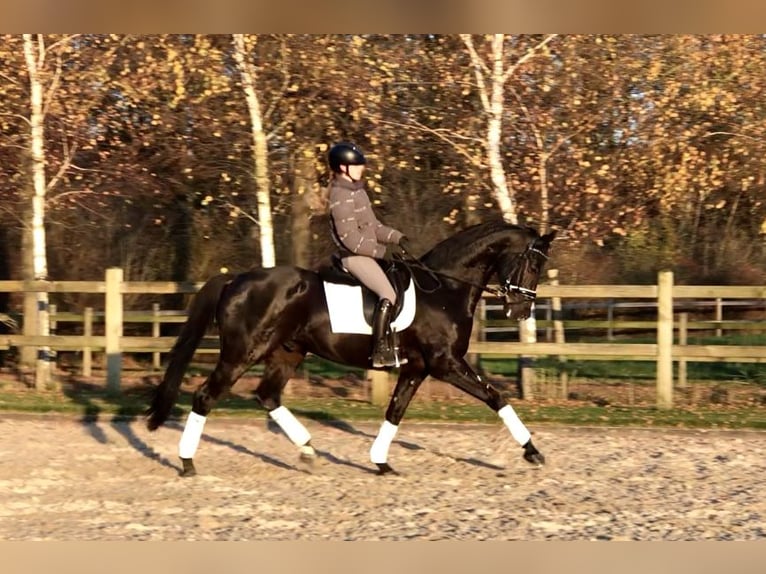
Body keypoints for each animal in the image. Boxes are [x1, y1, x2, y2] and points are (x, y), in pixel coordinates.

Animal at [146, 220, 556, 476]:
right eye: (532, 263)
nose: (521, 310)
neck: (443, 289)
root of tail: (236, 280)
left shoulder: (417, 368)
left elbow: (395, 411)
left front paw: (380, 462)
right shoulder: (445, 364)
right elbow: (496, 397)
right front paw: (533, 451)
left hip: (287, 352)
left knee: (267, 395)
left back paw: (308, 451)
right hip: (242, 354)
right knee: (205, 397)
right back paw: (187, 463)